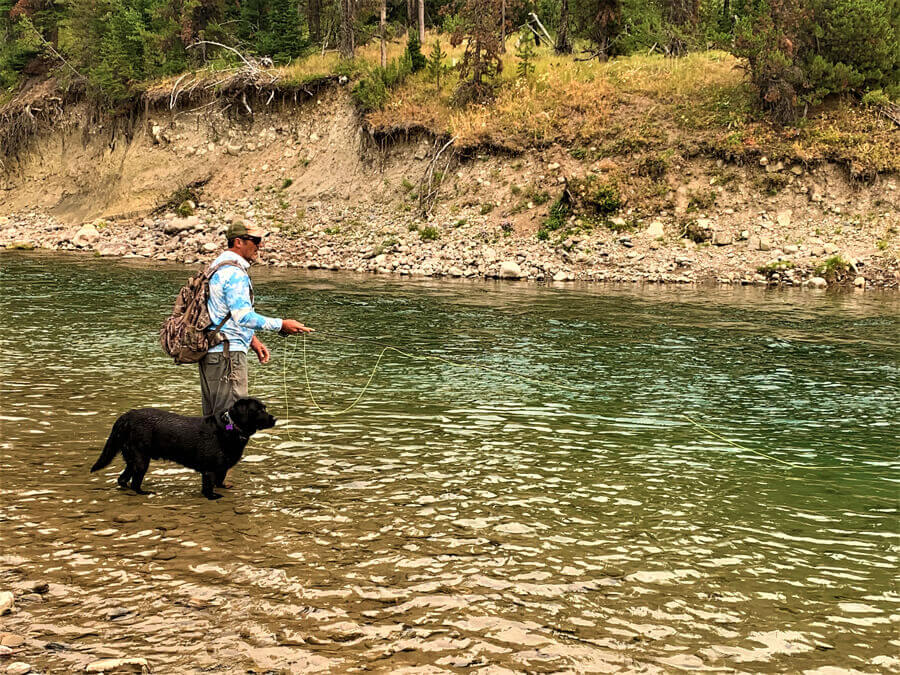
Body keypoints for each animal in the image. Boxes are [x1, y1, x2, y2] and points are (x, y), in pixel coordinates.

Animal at [91, 396, 276, 502]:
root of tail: (126, 416)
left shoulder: (221, 468)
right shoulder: (209, 469)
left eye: (265, 408)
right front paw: (212, 497)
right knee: (135, 483)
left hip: (133, 459)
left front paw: (223, 488)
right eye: (259, 410)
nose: (275, 419)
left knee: (122, 479)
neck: (232, 428)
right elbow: (208, 487)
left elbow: (220, 480)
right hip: (141, 459)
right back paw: (144, 492)